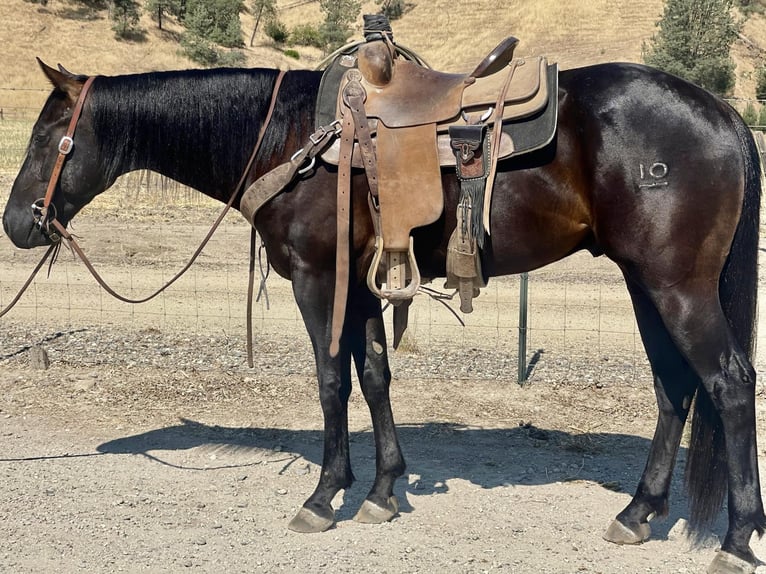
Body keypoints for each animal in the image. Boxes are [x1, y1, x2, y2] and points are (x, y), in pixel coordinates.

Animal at [3, 57, 764, 573]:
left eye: (48, 137)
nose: (16, 223)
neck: (290, 140)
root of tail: (723, 113)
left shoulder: (319, 280)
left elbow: (331, 382)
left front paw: (323, 496)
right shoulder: (367, 287)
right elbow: (373, 377)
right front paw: (383, 489)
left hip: (677, 285)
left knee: (727, 384)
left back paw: (735, 538)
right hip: (643, 282)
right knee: (674, 387)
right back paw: (638, 512)